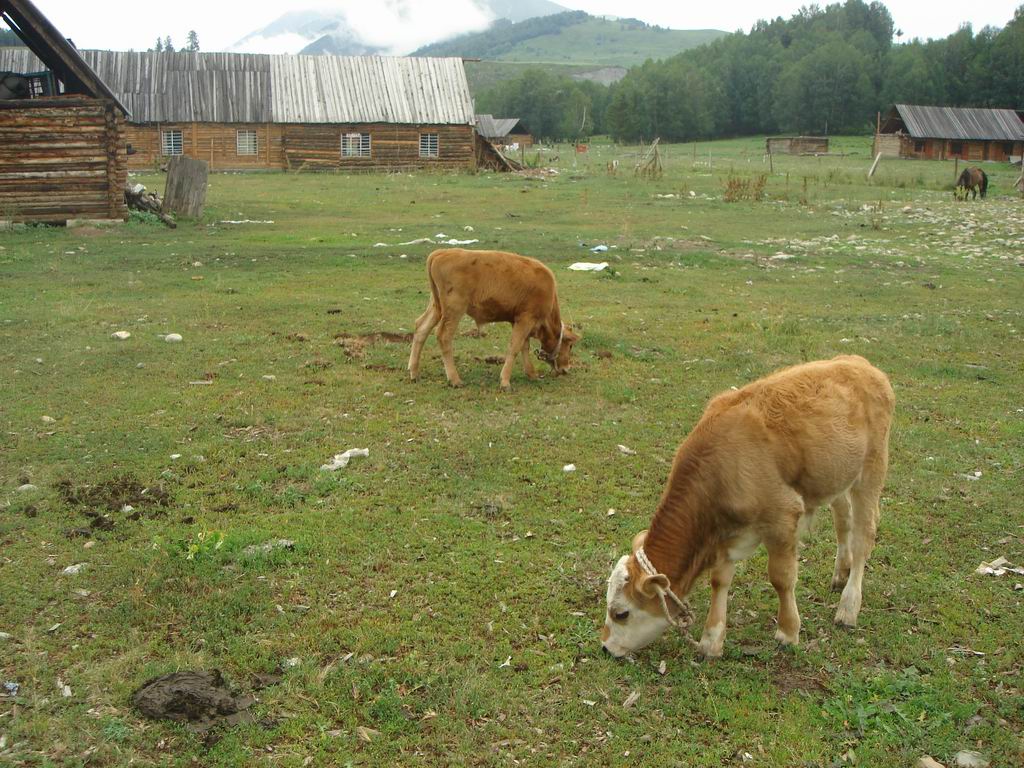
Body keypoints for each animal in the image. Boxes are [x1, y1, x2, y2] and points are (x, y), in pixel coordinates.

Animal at [409, 249, 585, 391]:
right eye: (570, 346)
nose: (566, 368)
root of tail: (440, 253)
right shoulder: (526, 319)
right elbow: (515, 348)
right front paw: (505, 382)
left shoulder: (519, 321)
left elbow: (524, 346)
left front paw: (531, 373)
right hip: (454, 310)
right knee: (443, 336)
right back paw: (454, 379)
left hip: (436, 307)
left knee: (421, 328)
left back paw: (414, 373)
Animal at [602, 358, 892, 659]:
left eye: (620, 613)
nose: (605, 647)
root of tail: (858, 363)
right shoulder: (724, 533)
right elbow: (720, 580)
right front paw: (711, 640)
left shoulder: (782, 517)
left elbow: (781, 578)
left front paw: (788, 631)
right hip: (836, 475)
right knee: (843, 518)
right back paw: (840, 573)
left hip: (872, 469)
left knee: (863, 537)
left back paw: (848, 607)